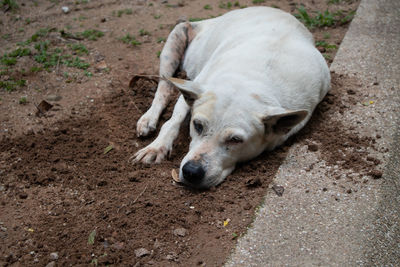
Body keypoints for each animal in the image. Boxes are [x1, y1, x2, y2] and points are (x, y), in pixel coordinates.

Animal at [133, 7, 330, 189]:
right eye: (197, 126)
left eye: (235, 140)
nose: (191, 172)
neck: (251, 79)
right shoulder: (196, 86)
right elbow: (173, 120)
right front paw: (156, 146)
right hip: (175, 41)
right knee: (163, 88)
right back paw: (149, 118)